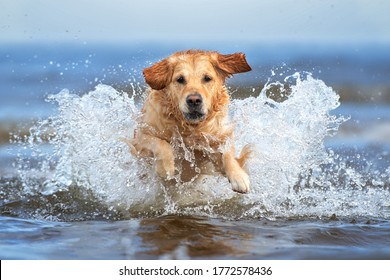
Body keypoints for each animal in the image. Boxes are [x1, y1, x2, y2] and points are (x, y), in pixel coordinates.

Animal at [125, 49, 253, 192]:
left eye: (207, 78)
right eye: (180, 79)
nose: (194, 100)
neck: (190, 129)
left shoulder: (218, 136)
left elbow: (227, 153)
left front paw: (238, 176)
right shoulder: (140, 136)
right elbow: (160, 143)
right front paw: (165, 167)